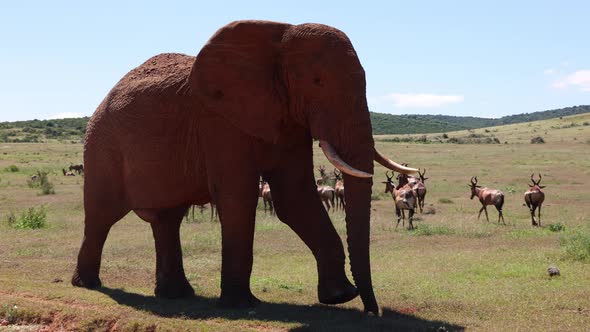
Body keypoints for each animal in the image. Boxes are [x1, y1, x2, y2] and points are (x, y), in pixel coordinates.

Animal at [71, 19, 418, 316]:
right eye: (317, 82)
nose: (373, 312)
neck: (278, 37)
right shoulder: (220, 122)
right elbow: (238, 197)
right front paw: (240, 305)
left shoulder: (286, 118)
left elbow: (296, 197)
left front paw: (339, 297)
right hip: (102, 147)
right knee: (102, 216)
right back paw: (87, 284)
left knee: (166, 221)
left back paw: (176, 295)